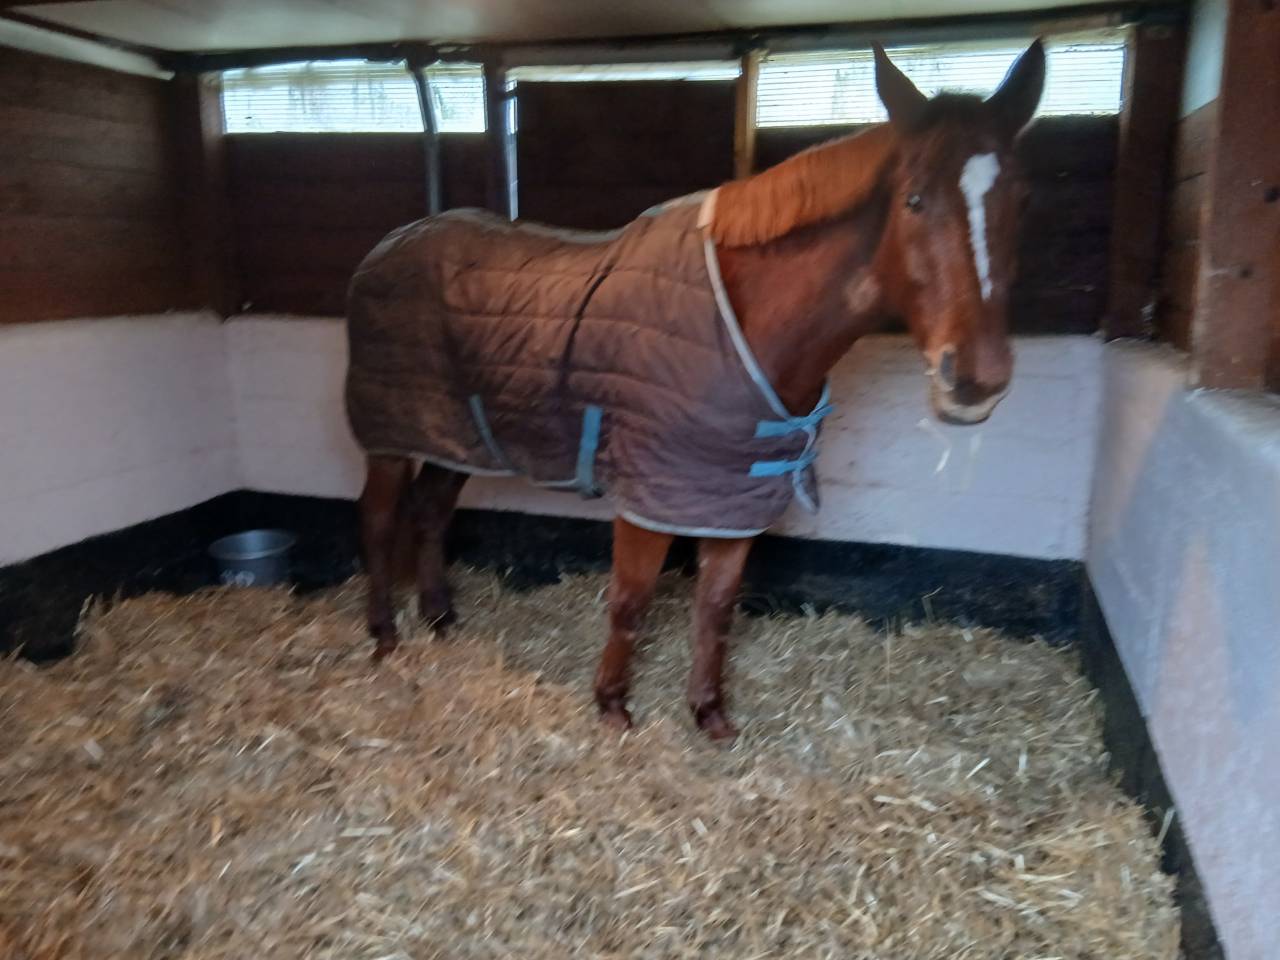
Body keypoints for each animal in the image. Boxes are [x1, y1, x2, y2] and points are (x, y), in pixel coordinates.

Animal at [345, 40, 1046, 739]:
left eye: (1022, 198)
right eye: (915, 200)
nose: (976, 381)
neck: (747, 319)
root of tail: (389, 245)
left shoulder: (729, 494)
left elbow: (715, 605)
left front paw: (709, 713)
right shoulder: (651, 493)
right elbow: (631, 600)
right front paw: (612, 705)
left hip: (451, 437)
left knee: (430, 513)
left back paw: (440, 619)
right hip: (391, 438)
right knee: (378, 520)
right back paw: (383, 635)